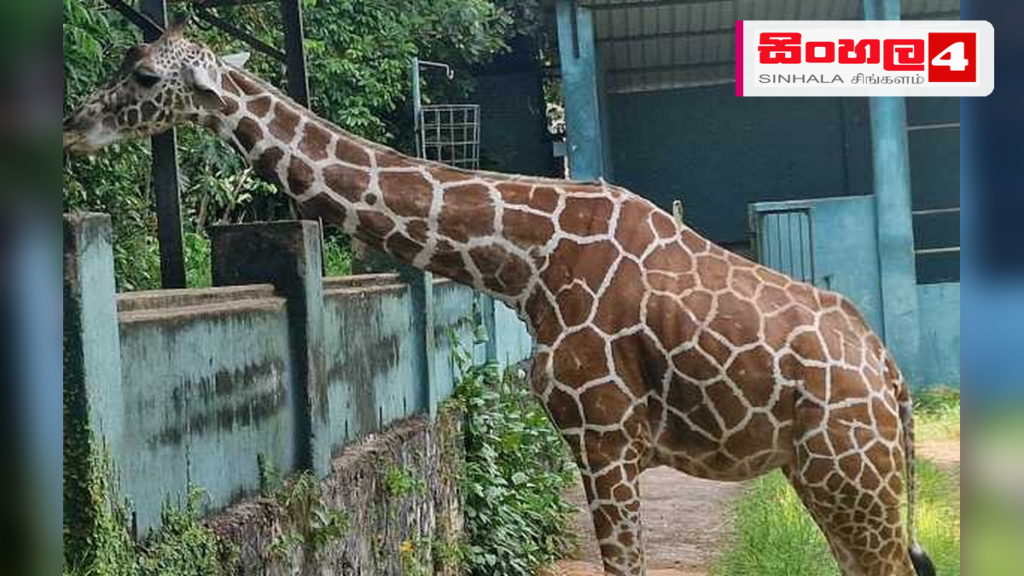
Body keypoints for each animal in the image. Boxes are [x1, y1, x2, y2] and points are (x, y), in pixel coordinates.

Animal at [64, 24, 936, 576]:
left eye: (144, 77)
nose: (74, 125)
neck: (526, 264)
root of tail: (892, 379)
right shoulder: (600, 446)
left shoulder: (606, 439)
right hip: (828, 476)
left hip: (851, 473)